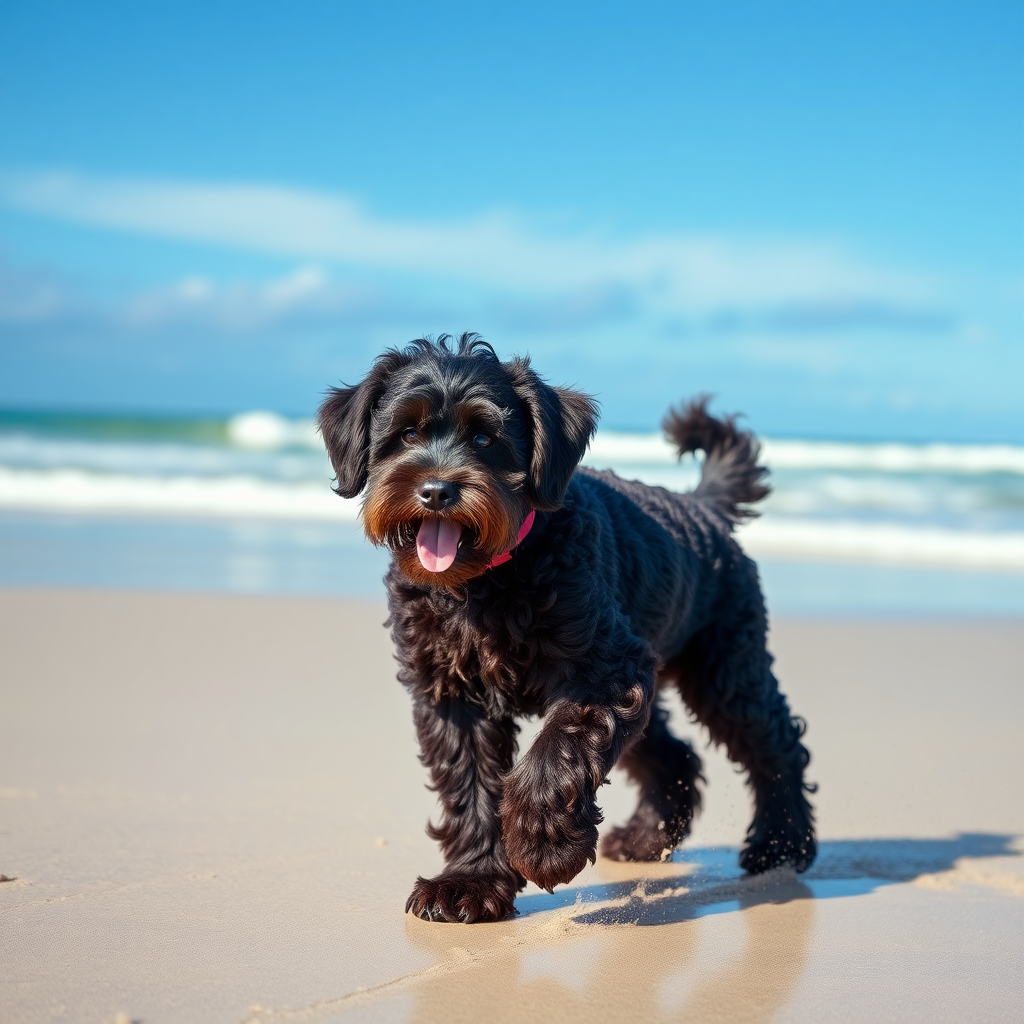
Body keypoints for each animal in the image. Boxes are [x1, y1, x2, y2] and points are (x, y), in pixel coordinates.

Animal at [319, 333, 815, 921]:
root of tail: (704, 508)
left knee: (776, 744)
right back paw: (648, 838)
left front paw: (544, 846)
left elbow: (558, 749)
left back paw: (780, 844)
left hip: (726, 671)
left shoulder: (607, 669)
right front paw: (471, 882)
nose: (437, 491)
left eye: (485, 436)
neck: (488, 581)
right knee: (675, 754)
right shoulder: (450, 693)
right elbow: (470, 784)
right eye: (407, 432)